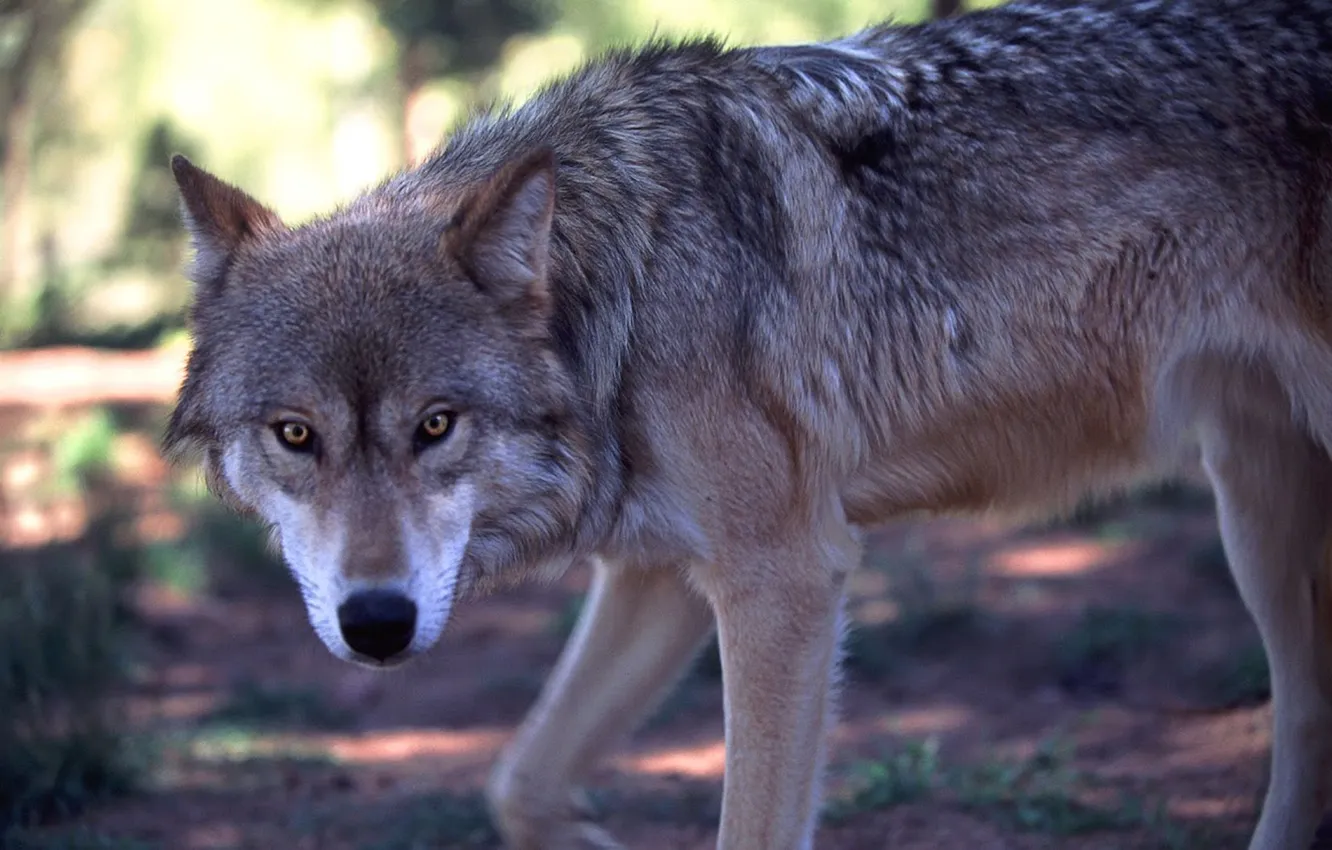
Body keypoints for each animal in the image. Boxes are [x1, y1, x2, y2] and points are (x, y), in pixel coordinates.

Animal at [163, 0, 1332, 847]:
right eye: (296, 434)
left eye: (436, 426)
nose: (377, 623)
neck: (624, 289)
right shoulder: (657, 574)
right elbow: (520, 781)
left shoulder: (785, 578)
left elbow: (750, 824)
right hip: (1258, 507)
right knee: (1307, 722)